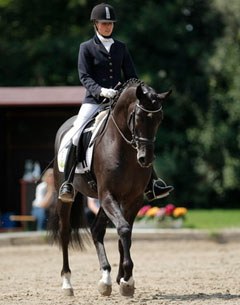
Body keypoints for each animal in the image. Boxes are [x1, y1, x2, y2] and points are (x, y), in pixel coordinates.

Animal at [49, 79, 171, 296]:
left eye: (159, 118)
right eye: (138, 117)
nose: (145, 159)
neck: (123, 148)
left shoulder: (132, 199)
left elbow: (126, 233)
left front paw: (124, 279)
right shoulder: (107, 195)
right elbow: (123, 229)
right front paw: (127, 278)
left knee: (97, 229)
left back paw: (105, 278)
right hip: (66, 197)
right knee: (65, 232)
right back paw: (67, 283)